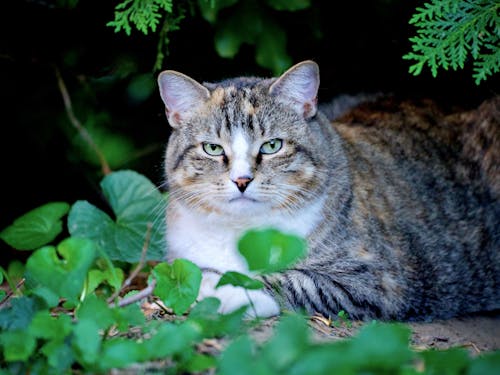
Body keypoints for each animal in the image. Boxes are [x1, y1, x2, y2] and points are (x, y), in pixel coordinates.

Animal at [157, 60, 500, 322]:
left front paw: (223, 290)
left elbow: (297, 281)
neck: (240, 232)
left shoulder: (382, 281)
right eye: (213, 148)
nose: (242, 180)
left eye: (272, 146)